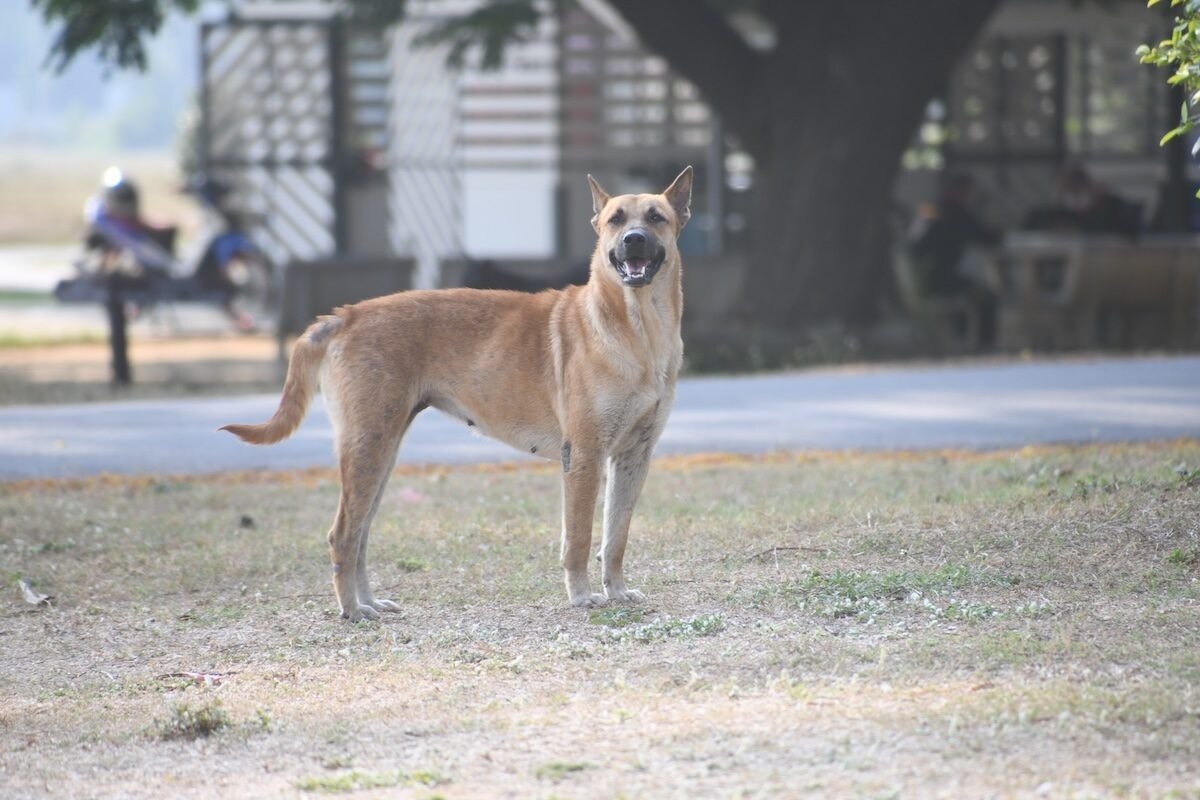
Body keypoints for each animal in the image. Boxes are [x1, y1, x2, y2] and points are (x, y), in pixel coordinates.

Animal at [223, 165, 696, 623]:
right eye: (616, 219)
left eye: (655, 217)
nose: (633, 240)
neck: (637, 330)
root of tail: (345, 316)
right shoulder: (583, 455)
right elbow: (579, 538)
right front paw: (582, 597)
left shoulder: (633, 456)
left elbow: (616, 537)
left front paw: (615, 591)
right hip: (368, 450)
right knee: (342, 535)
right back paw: (352, 610)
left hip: (380, 455)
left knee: (359, 536)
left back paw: (370, 603)